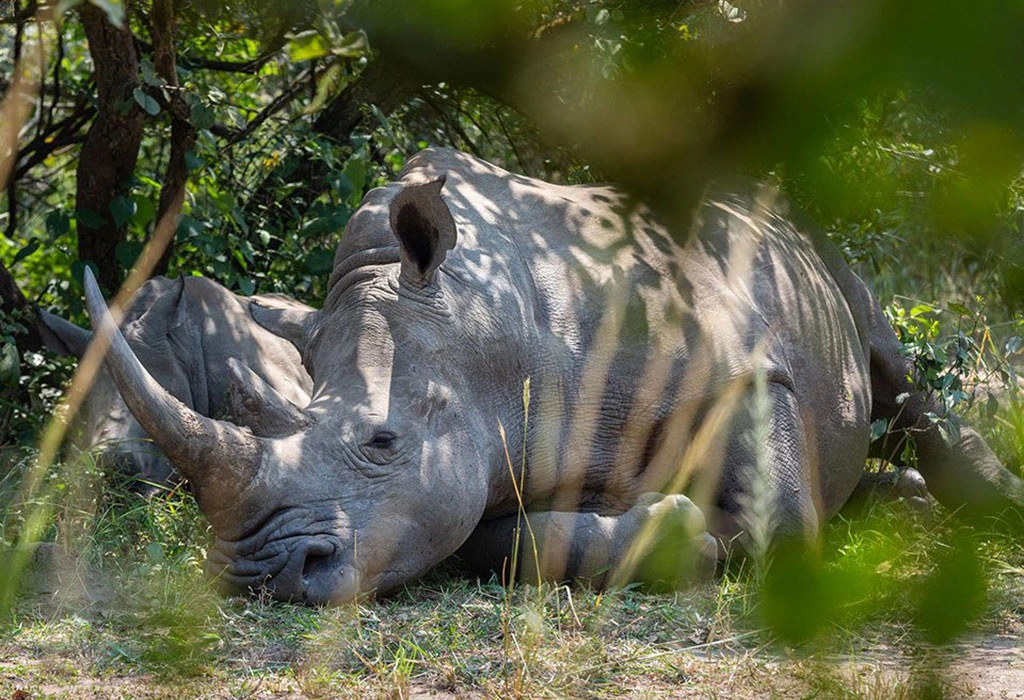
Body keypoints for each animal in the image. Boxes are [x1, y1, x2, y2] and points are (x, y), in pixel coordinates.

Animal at [83, 148, 1024, 603]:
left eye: (382, 442)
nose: (258, 577)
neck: (490, 329)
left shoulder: (752, 372)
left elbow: (784, 526)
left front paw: (711, 532)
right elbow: (508, 542)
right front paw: (681, 530)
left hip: (815, 246)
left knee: (890, 361)